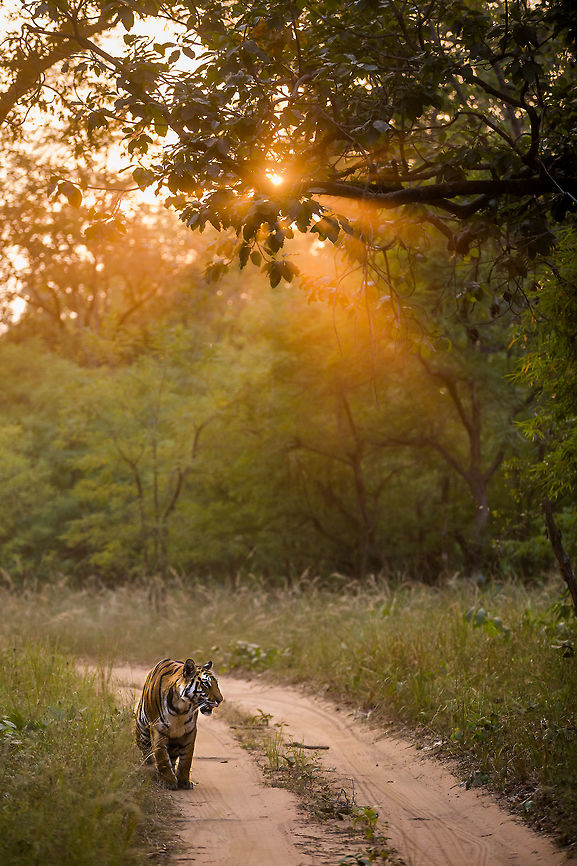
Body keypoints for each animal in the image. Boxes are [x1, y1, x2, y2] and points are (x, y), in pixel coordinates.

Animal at [135, 657, 223, 790]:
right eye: (206, 684)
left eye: (216, 684)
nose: (220, 700)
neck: (182, 708)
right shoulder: (157, 729)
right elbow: (162, 756)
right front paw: (168, 781)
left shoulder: (190, 731)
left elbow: (186, 759)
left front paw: (183, 781)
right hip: (142, 731)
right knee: (147, 752)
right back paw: (149, 768)